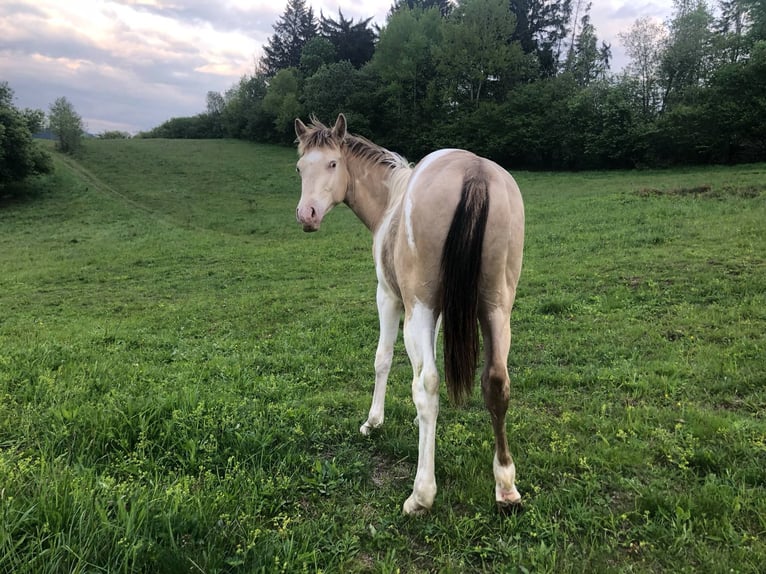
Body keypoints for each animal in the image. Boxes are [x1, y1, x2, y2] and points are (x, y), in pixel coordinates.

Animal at [293, 114, 525, 514]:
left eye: (333, 163)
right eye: (300, 168)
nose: (307, 215)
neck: (391, 198)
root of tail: (474, 172)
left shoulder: (390, 298)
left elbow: (382, 359)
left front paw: (373, 422)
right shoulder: (440, 313)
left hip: (419, 311)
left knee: (427, 385)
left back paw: (421, 494)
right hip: (496, 309)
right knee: (497, 383)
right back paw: (506, 486)